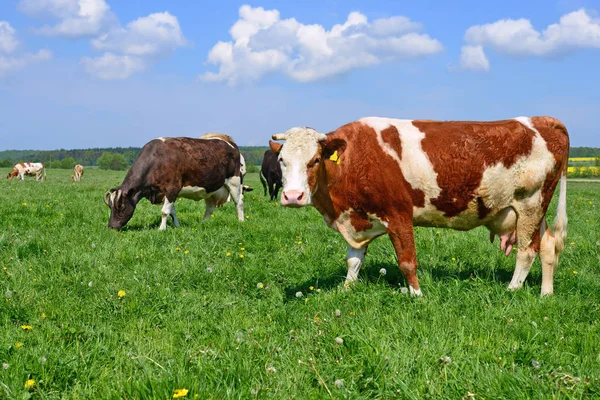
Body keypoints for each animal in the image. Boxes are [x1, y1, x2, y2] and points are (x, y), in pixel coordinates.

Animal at [103, 134, 244, 230]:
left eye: (120, 206)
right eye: (110, 206)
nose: (111, 226)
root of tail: (230, 143)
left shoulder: (173, 188)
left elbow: (165, 211)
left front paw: (161, 229)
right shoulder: (165, 192)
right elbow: (172, 211)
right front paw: (176, 226)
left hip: (235, 182)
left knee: (239, 202)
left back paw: (241, 221)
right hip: (211, 189)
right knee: (210, 207)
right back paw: (203, 223)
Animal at [270, 115, 568, 296]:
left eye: (314, 160)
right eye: (282, 160)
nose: (293, 196)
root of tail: (540, 120)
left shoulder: (398, 214)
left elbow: (407, 261)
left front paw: (417, 295)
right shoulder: (358, 218)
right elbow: (353, 260)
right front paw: (347, 289)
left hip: (530, 204)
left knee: (527, 252)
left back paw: (512, 290)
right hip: (536, 210)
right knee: (547, 246)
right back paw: (545, 294)